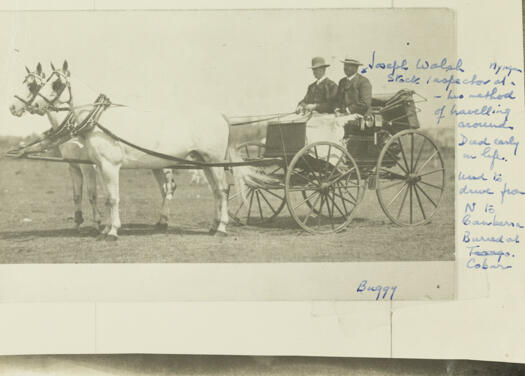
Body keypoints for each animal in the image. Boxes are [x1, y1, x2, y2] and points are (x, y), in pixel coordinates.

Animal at [9, 63, 176, 234]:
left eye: (33, 86)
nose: (12, 107)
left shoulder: (87, 165)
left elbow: (93, 193)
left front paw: (97, 222)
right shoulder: (73, 165)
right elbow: (78, 195)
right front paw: (78, 222)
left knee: (169, 188)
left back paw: (163, 220)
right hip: (156, 165)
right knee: (164, 189)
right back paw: (161, 221)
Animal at [29, 60, 262, 239]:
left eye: (57, 83)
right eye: (42, 83)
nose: (35, 106)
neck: (99, 121)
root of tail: (220, 115)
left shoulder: (110, 166)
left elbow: (113, 198)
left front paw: (112, 232)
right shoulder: (100, 166)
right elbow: (107, 197)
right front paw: (105, 229)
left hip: (213, 162)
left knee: (222, 191)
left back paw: (221, 228)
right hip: (204, 163)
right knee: (215, 191)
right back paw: (213, 225)